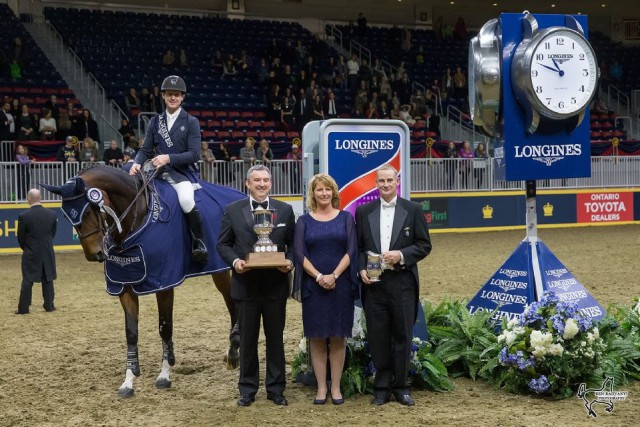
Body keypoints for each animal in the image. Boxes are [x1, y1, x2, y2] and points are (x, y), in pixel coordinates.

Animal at [40, 166, 245, 398]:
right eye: (67, 216)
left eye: (89, 210)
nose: (94, 254)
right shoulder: (124, 285)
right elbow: (131, 333)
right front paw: (128, 381)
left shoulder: (164, 283)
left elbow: (165, 328)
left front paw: (164, 375)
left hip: (221, 268)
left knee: (232, 303)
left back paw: (233, 352)